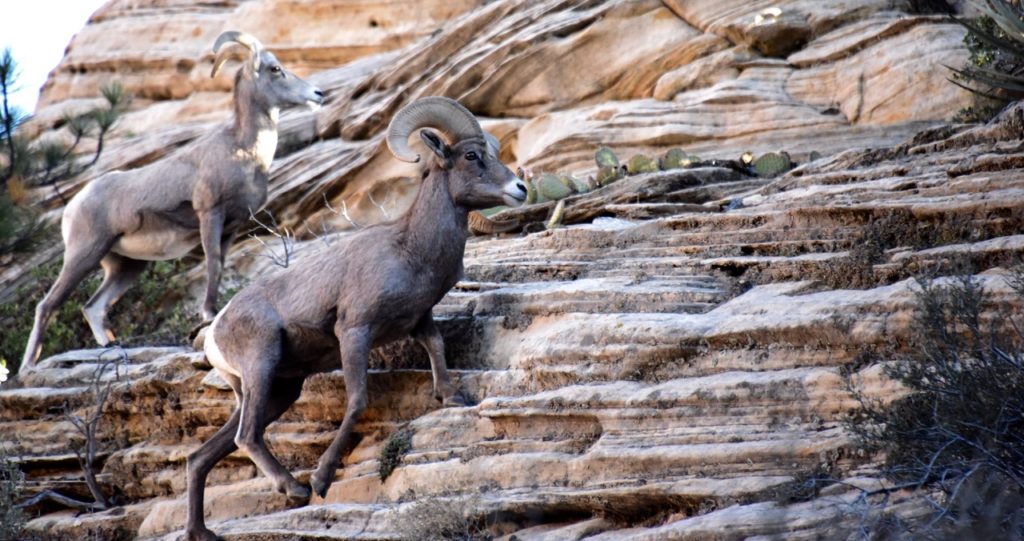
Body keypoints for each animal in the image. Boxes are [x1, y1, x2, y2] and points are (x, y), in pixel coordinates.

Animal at [20, 31, 323, 368]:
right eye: (274, 69)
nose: (318, 94)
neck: (244, 151)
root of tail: (73, 206)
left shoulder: (231, 228)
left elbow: (220, 263)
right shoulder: (210, 214)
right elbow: (213, 263)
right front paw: (209, 314)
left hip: (126, 266)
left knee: (93, 307)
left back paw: (112, 347)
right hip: (84, 253)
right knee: (47, 305)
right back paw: (28, 366)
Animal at [181, 97, 528, 541]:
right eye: (471, 156)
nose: (519, 189)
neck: (411, 249)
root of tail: (214, 334)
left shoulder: (420, 320)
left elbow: (436, 346)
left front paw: (451, 397)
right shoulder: (354, 332)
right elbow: (358, 400)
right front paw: (322, 479)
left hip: (279, 391)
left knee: (202, 456)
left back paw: (202, 532)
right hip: (262, 366)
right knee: (247, 437)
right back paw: (295, 488)